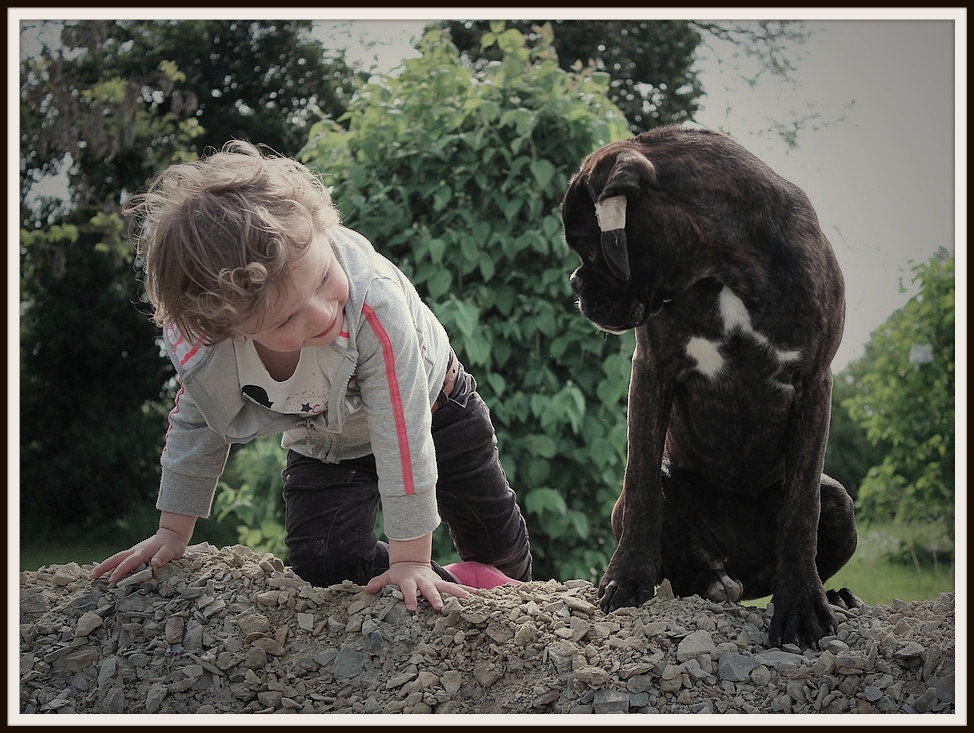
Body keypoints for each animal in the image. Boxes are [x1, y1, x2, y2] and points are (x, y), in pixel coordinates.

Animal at [564, 126, 860, 648]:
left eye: (591, 247)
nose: (575, 283)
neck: (726, 267)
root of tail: (736, 564)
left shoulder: (814, 382)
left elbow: (801, 509)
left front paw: (802, 606)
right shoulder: (652, 370)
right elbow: (640, 480)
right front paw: (626, 580)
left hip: (840, 502)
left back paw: (834, 596)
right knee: (680, 552)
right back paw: (711, 583)